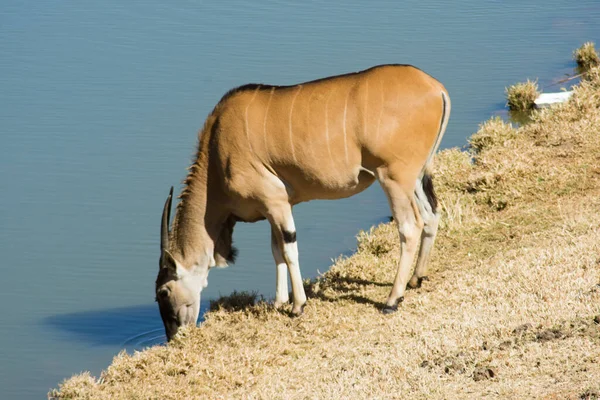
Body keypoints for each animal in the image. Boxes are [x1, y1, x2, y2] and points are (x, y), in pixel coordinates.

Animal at [155, 65, 450, 340]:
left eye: (163, 292)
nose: (173, 335)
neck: (217, 151)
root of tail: (435, 88)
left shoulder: (275, 202)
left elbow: (289, 249)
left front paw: (298, 306)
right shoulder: (275, 207)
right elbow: (276, 250)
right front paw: (279, 302)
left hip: (393, 179)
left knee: (410, 227)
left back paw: (392, 300)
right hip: (415, 179)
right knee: (431, 215)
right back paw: (416, 279)